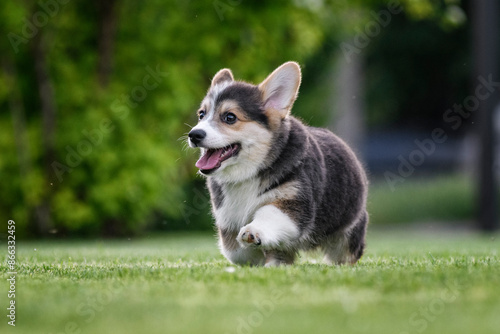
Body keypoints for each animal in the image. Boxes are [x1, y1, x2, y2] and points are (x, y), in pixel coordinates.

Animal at [188, 62, 368, 266]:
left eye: (230, 117)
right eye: (201, 115)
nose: (194, 135)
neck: (249, 171)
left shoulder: (293, 205)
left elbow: (268, 214)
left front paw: (253, 232)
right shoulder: (228, 218)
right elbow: (235, 252)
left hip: (347, 235)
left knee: (345, 255)